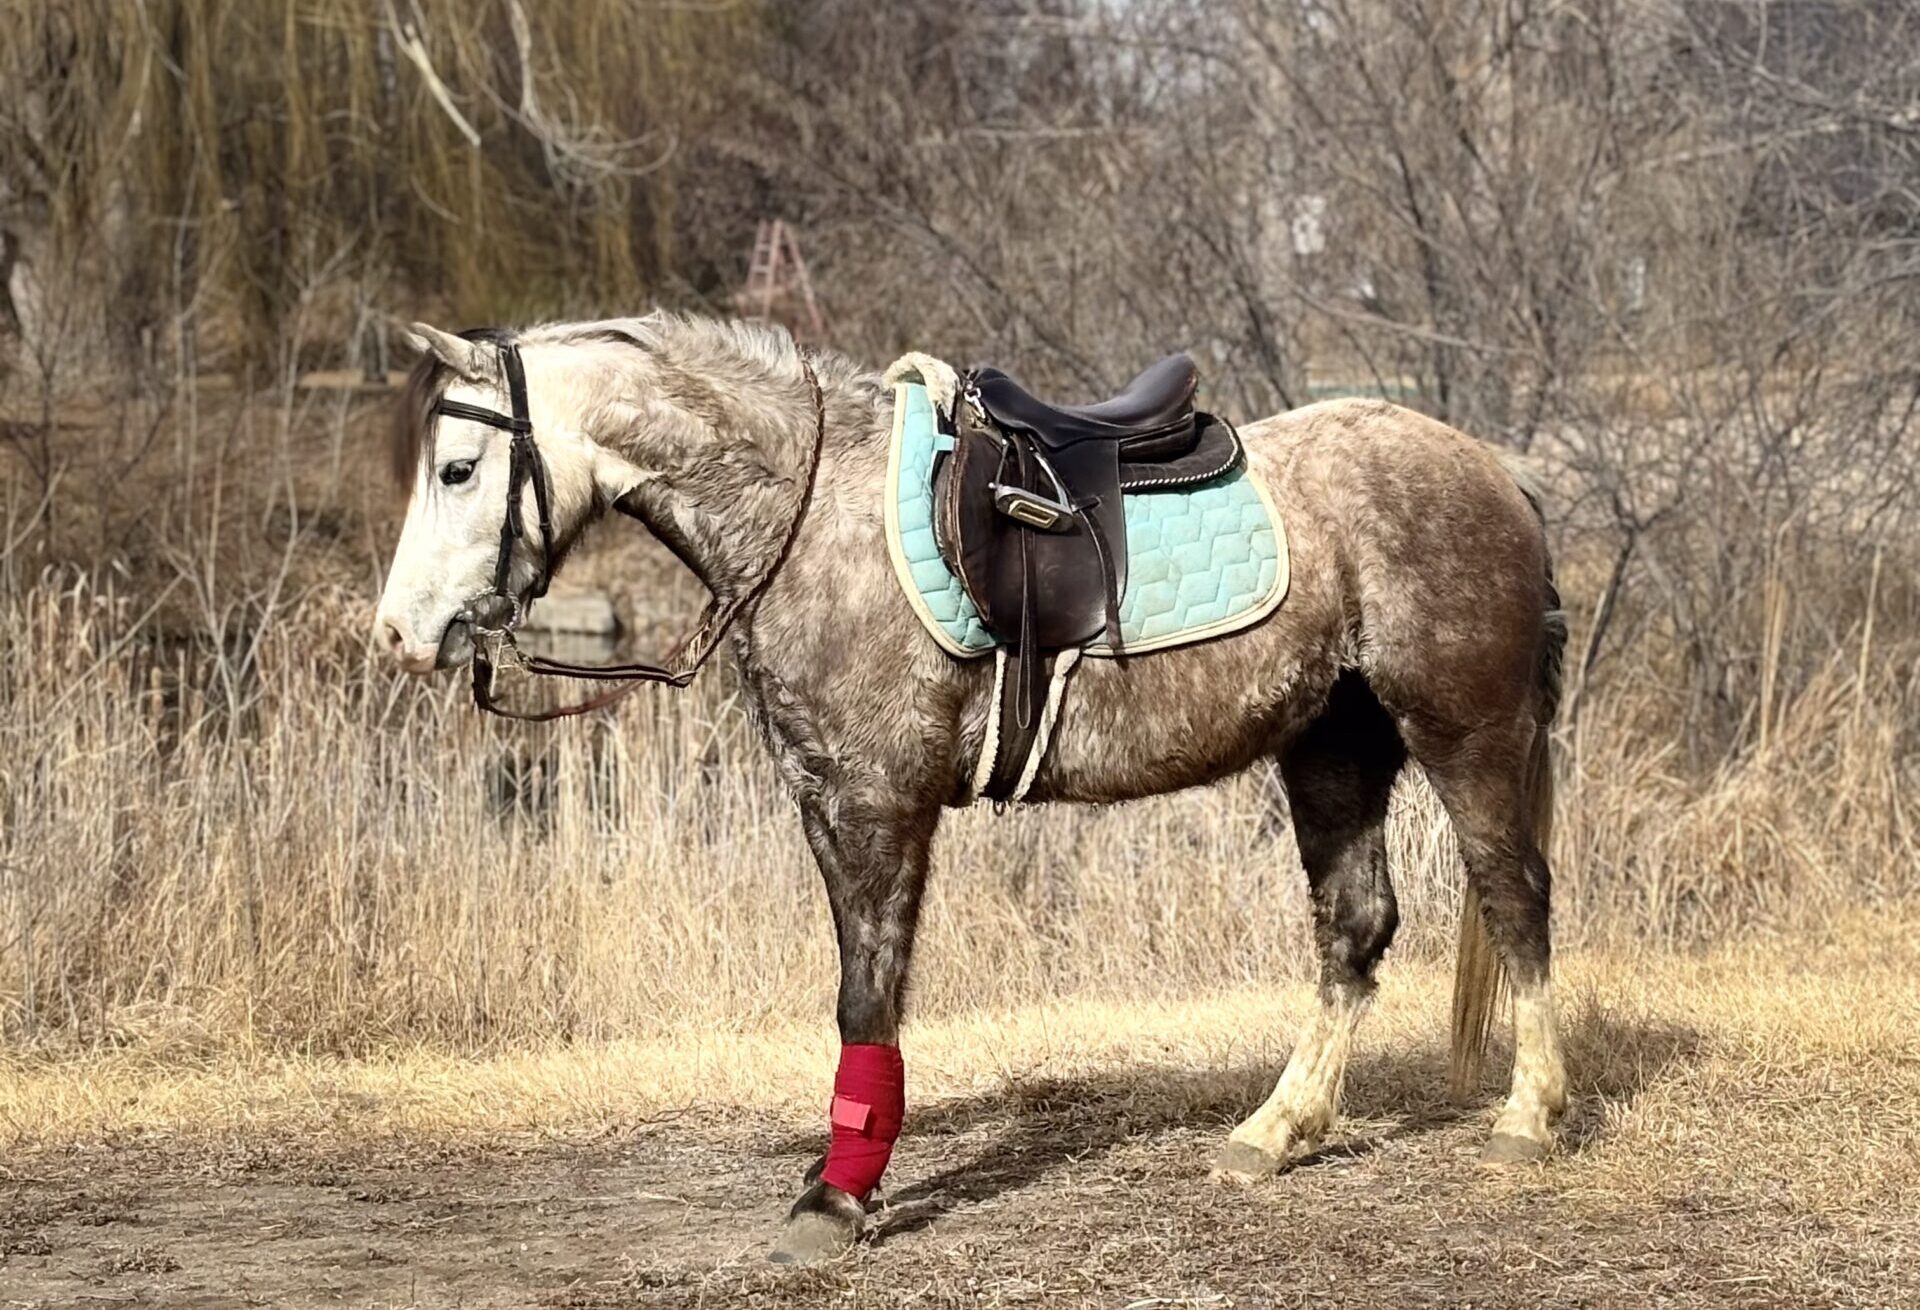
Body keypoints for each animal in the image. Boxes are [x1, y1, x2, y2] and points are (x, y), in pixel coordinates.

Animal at [373, 313, 1570, 1265]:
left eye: (458, 470)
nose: (396, 637)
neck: (813, 515)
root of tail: (1498, 473)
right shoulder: (828, 803)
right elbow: (863, 988)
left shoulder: (876, 805)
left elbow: (867, 997)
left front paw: (835, 1196)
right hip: (1332, 747)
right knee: (1354, 928)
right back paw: (1276, 1131)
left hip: (1466, 735)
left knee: (1515, 900)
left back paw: (1529, 1116)